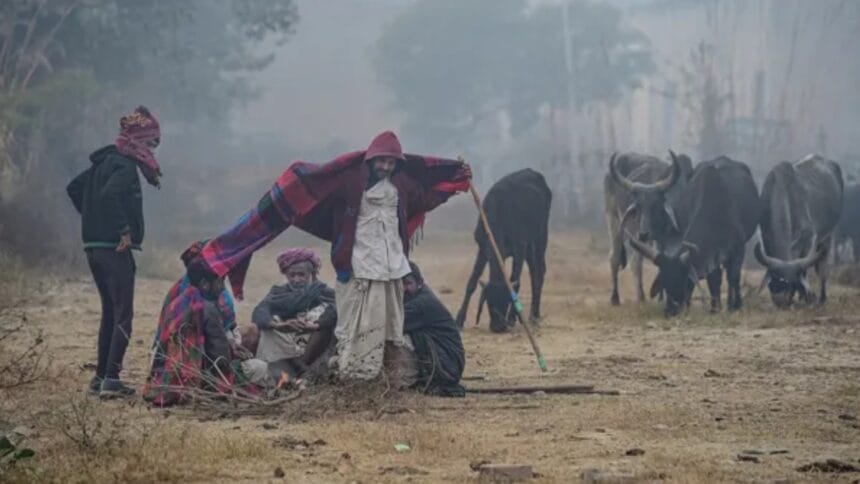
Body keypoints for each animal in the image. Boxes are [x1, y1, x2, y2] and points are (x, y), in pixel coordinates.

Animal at [456, 169, 552, 332]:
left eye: (506, 301)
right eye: (489, 303)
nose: (499, 326)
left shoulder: (519, 248)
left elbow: (516, 282)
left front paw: (512, 318)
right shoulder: (483, 249)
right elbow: (472, 282)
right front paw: (459, 319)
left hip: (540, 237)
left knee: (539, 273)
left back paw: (534, 315)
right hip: (530, 247)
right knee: (535, 272)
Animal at [624, 156, 760, 318]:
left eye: (683, 281)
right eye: (664, 282)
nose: (670, 310)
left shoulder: (739, 248)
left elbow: (733, 277)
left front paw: (736, 306)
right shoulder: (710, 254)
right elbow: (714, 279)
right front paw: (715, 308)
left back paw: (731, 305)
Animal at [756, 155, 844, 306]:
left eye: (791, 284)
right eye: (772, 285)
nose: (781, 301)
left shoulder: (808, 238)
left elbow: (804, 269)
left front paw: (805, 296)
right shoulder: (765, 236)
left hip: (829, 234)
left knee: (823, 267)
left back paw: (822, 298)